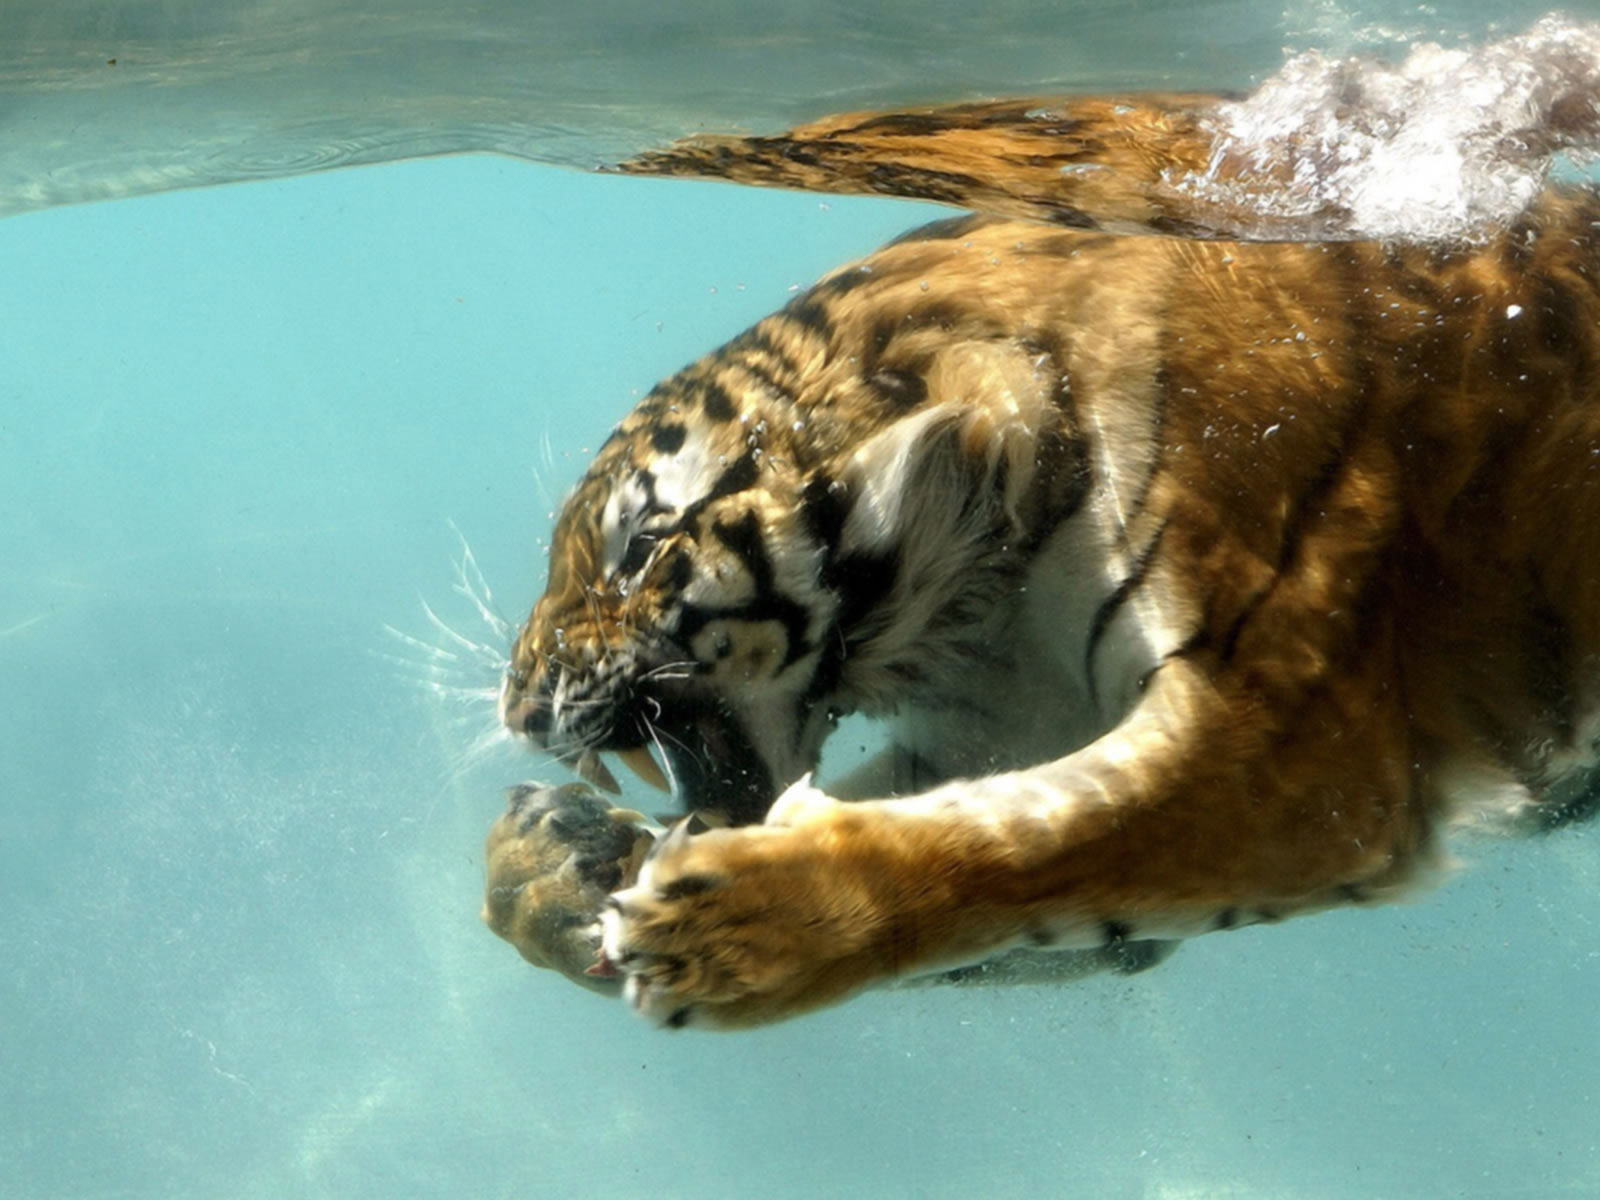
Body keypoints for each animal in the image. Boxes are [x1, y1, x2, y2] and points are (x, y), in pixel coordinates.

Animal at [483, 88, 1600, 1028]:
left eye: (637, 545)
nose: (518, 707)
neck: (988, 582)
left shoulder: (1297, 750)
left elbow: (1016, 846)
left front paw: (728, 933)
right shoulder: (1006, 721)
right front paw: (551, 870)